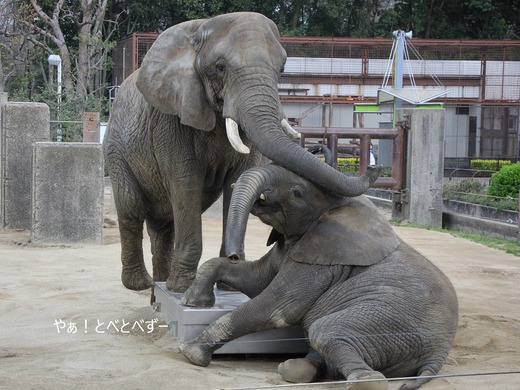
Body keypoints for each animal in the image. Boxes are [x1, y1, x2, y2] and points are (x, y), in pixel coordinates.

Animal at [103, 12, 378, 292]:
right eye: (220, 67)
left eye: (282, 69)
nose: (374, 167)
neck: (198, 30)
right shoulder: (169, 118)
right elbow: (185, 181)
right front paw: (182, 288)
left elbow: (237, 179)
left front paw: (228, 285)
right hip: (115, 151)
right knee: (132, 209)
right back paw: (142, 284)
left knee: (164, 221)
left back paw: (159, 282)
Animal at [180, 164, 460, 390]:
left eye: (297, 192)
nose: (234, 254)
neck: (338, 207)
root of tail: (437, 356)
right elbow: (256, 280)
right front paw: (193, 301)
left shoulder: (323, 263)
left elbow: (275, 307)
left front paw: (191, 352)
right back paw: (294, 369)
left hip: (389, 320)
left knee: (324, 330)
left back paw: (367, 382)